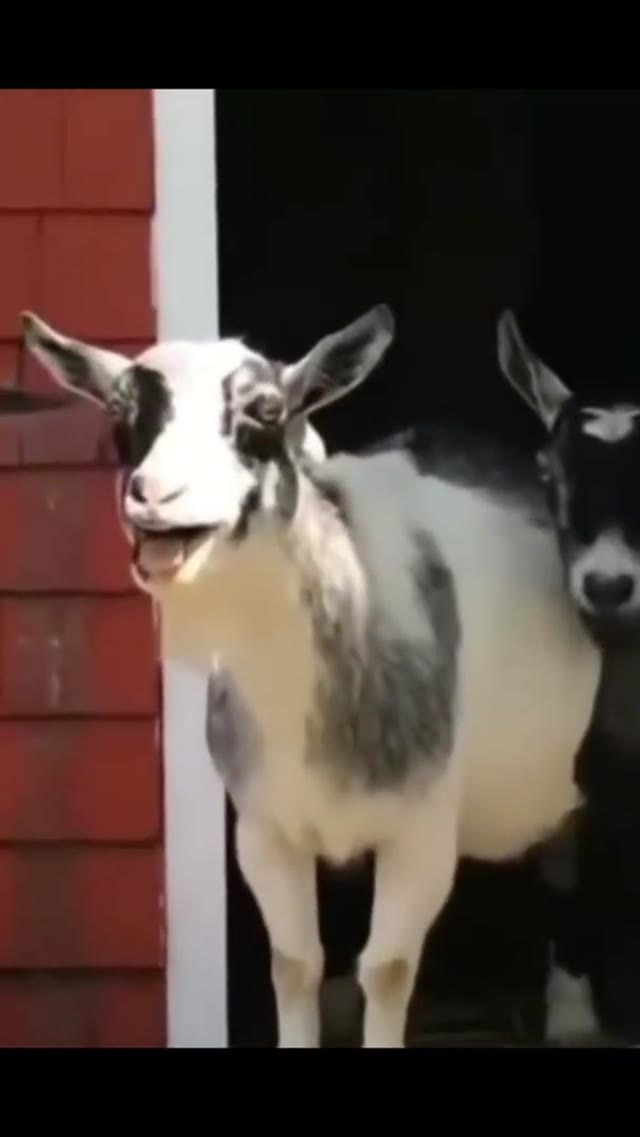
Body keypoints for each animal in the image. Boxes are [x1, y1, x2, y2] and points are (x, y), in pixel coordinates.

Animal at [22, 304, 601, 1048]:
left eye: (266, 409)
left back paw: (571, 1013)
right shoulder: (264, 827)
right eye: (122, 408)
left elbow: (388, 969)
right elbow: (295, 964)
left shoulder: (422, 828)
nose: (155, 497)